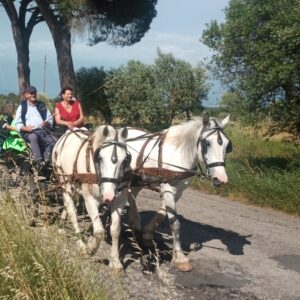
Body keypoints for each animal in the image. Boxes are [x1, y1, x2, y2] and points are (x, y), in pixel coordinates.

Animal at [51, 125, 130, 270]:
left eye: (125, 160)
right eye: (100, 158)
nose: (109, 196)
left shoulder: (119, 201)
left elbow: (116, 230)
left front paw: (116, 261)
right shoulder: (90, 199)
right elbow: (99, 231)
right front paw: (90, 248)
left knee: (68, 203)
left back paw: (61, 225)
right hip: (64, 180)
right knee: (71, 209)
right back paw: (80, 242)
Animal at [120, 112, 231, 272]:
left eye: (228, 146)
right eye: (207, 143)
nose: (220, 179)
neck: (180, 154)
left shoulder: (178, 191)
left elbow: (162, 213)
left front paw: (147, 234)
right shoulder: (168, 188)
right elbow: (175, 223)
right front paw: (180, 257)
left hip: (138, 179)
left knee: (131, 195)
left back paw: (135, 223)